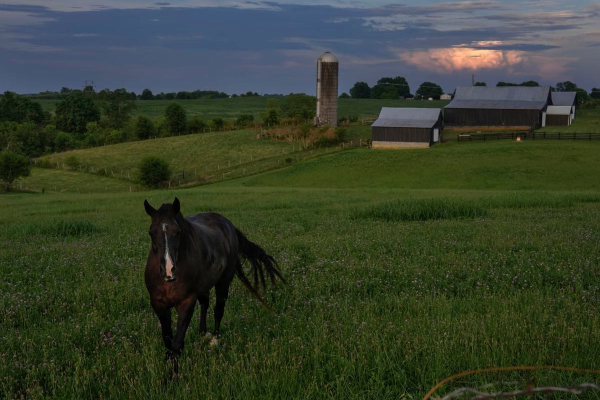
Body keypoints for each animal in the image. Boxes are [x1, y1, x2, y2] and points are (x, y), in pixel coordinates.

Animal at [145, 198, 286, 370]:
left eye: (178, 232)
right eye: (151, 233)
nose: (168, 270)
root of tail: (228, 225)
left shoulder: (186, 303)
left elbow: (177, 344)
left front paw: (173, 374)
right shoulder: (158, 304)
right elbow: (167, 340)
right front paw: (167, 364)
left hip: (223, 282)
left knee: (218, 309)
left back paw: (215, 339)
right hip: (204, 285)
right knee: (205, 304)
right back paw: (203, 334)